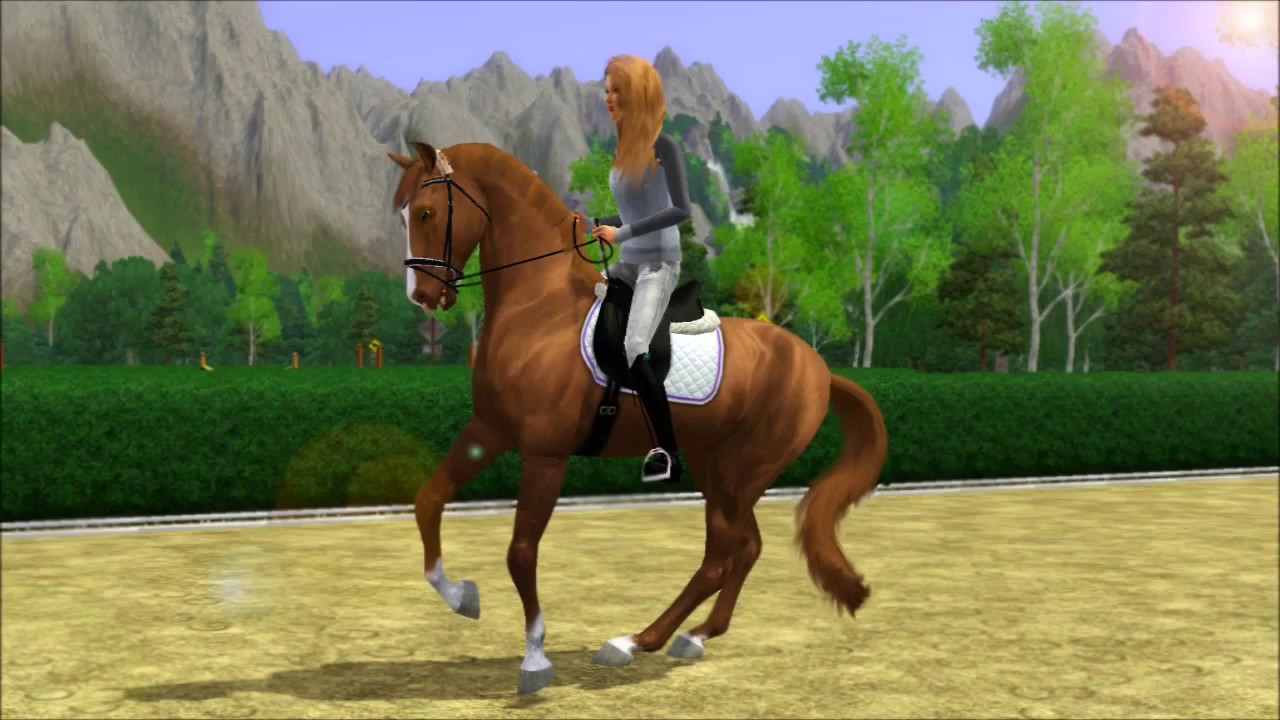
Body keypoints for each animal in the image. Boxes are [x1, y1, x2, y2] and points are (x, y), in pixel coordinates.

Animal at [387, 140, 888, 695]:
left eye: (426, 212)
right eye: (404, 214)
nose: (423, 297)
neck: (540, 309)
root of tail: (819, 369)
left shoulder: (545, 453)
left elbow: (520, 550)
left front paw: (535, 658)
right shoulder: (490, 431)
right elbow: (428, 501)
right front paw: (462, 597)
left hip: (743, 470)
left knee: (722, 555)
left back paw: (634, 641)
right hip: (718, 467)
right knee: (745, 548)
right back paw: (694, 636)